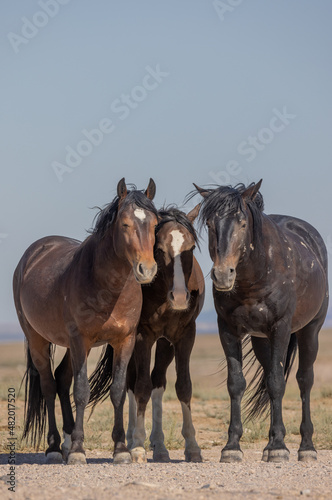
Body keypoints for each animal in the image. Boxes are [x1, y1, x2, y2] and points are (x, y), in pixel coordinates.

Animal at [13, 179, 158, 464]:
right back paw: (55, 447)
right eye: (125, 224)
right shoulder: (81, 339)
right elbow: (81, 391)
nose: (146, 269)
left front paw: (120, 449)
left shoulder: (124, 341)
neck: (108, 286)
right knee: (49, 385)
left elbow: (118, 391)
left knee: (61, 379)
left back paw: (67, 441)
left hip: (72, 346)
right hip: (38, 340)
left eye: (155, 224)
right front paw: (79, 450)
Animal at [88, 205, 204, 462]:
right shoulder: (142, 337)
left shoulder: (184, 336)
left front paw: (192, 447)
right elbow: (141, 387)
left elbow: (183, 386)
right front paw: (138, 446)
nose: (179, 297)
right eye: (159, 249)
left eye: (191, 248)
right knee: (132, 383)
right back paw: (132, 438)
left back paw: (160, 446)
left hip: (164, 343)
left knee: (158, 381)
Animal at [193, 180, 328, 460]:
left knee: (304, 380)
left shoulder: (281, 328)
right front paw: (232, 446)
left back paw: (306, 447)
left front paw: (278, 448)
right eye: (210, 224)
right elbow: (237, 383)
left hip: (310, 331)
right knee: (270, 376)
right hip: (261, 340)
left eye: (242, 223)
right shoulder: (228, 329)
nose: (222, 275)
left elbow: (278, 383)